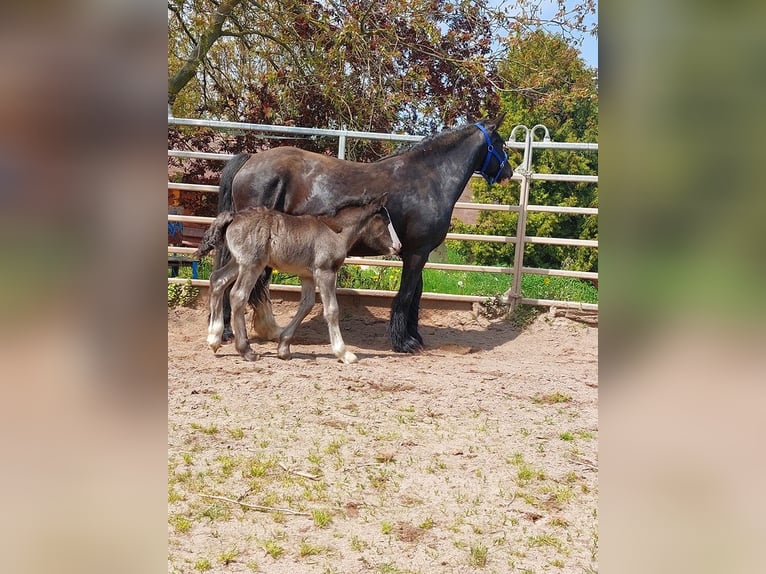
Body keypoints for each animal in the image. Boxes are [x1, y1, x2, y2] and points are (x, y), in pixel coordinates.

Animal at [216, 114, 516, 354]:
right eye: (501, 144)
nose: (509, 172)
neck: (428, 178)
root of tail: (250, 160)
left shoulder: (415, 253)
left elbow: (415, 296)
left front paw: (413, 336)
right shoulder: (417, 253)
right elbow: (406, 295)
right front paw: (403, 343)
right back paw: (232, 332)